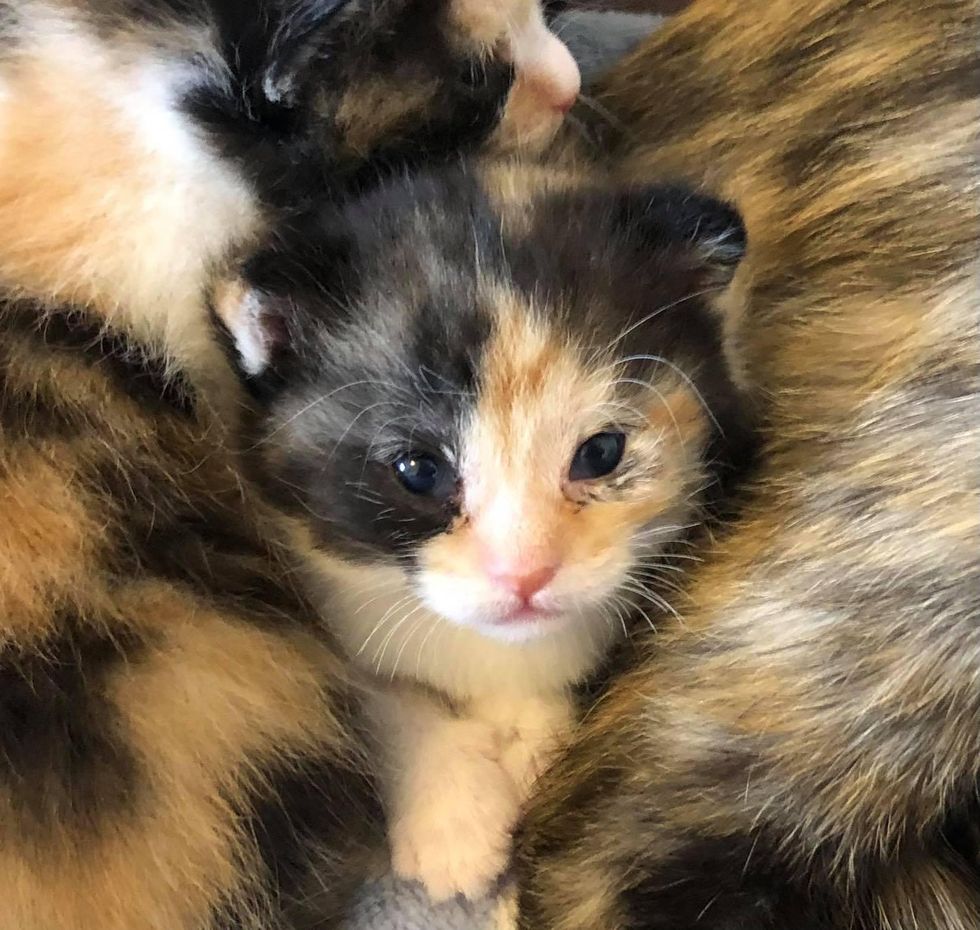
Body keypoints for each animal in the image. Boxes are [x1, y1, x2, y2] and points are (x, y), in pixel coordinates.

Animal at [212, 160, 752, 900]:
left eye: (602, 453)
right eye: (418, 470)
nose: (525, 576)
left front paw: (532, 742)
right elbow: (377, 693)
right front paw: (451, 816)